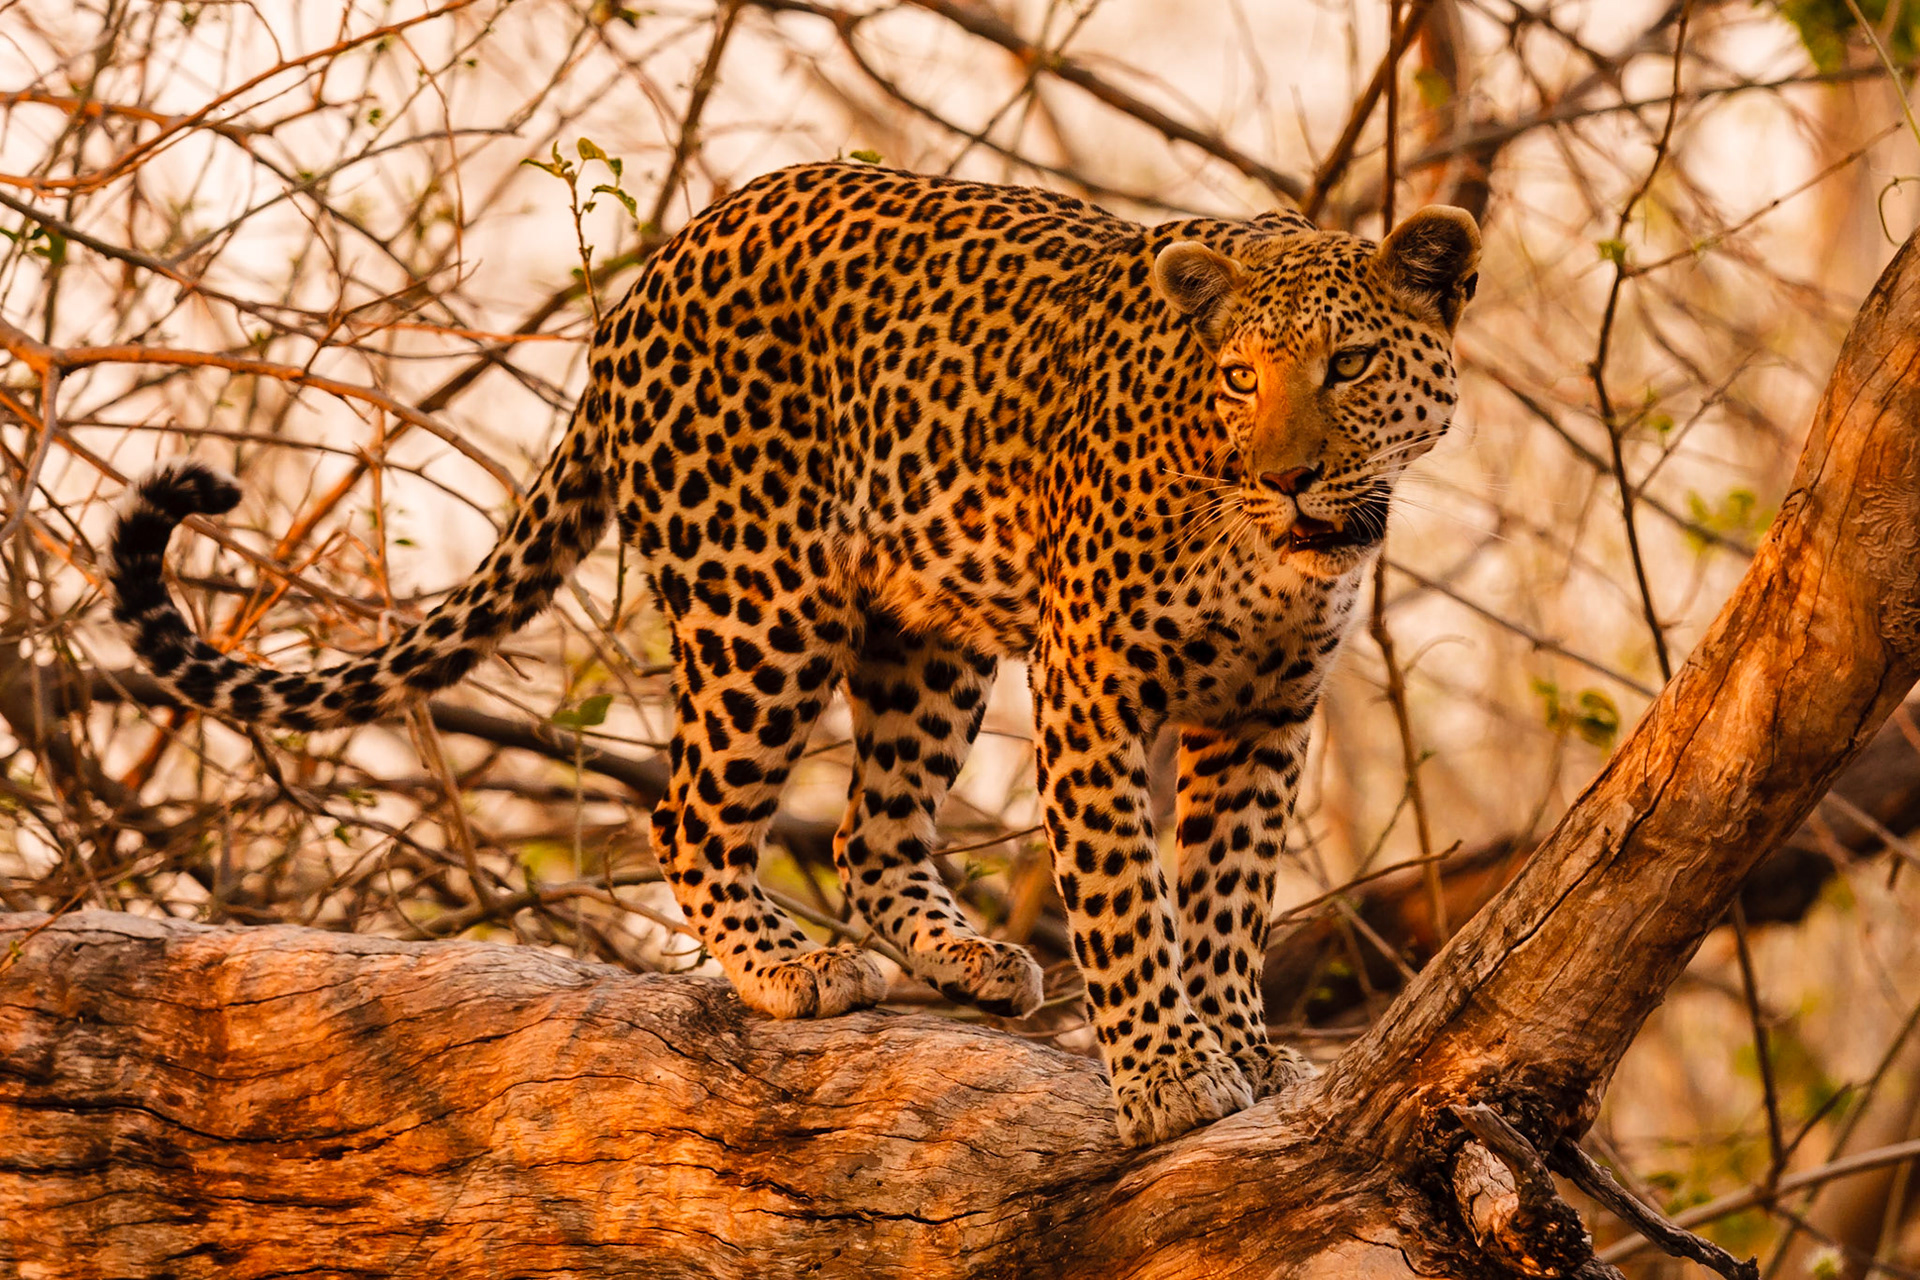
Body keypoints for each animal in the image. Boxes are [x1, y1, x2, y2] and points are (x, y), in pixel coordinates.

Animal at [108, 161, 1478, 1147]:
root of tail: (651, 274)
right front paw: (1167, 1069)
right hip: (761, 604)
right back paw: (787, 966)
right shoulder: (1093, 685)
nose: (1284, 473)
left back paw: (966, 955)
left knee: (872, 834)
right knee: (688, 813)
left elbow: (1229, 892)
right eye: (1240, 376)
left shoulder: (1266, 707)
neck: (1277, 543)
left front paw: (1240, 1039)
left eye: (1350, 364)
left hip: (924, 631)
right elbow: (1125, 892)